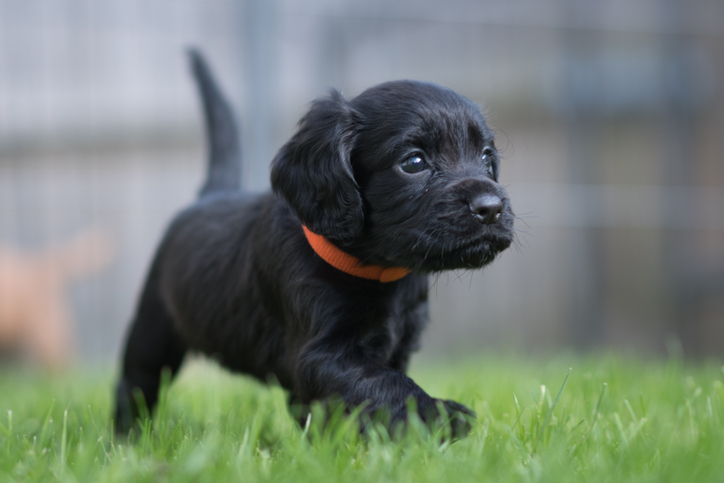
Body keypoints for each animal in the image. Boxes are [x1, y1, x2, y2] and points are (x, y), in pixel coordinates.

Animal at [114, 51, 516, 436]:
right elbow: (388, 385)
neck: (379, 272)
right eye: (414, 162)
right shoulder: (320, 355)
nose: (491, 208)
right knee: (134, 384)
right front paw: (441, 415)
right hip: (152, 330)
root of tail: (209, 195)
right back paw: (126, 440)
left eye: (486, 156)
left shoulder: (394, 347)